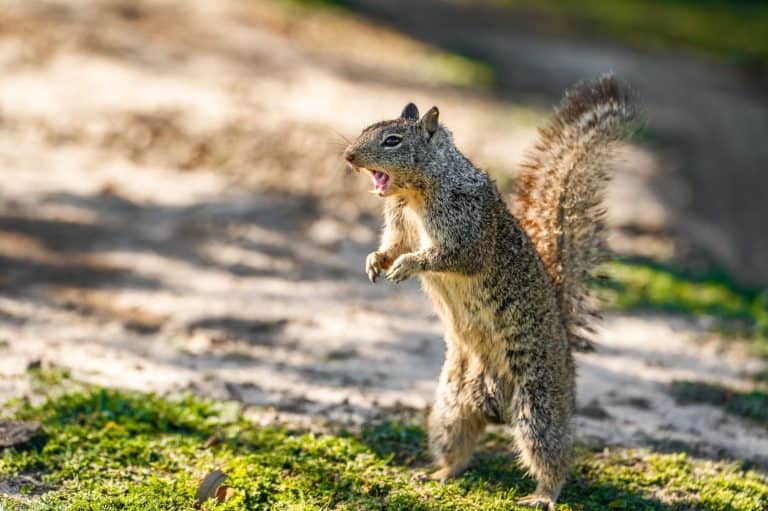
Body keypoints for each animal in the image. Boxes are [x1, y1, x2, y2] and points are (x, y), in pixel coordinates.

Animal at [343, 74, 637, 510]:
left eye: (392, 141)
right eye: (367, 128)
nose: (348, 156)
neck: (416, 192)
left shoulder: (468, 227)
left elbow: (452, 256)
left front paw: (408, 266)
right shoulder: (398, 224)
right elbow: (392, 244)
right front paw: (375, 261)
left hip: (538, 406)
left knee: (551, 456)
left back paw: (543, 495)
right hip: (450, 407)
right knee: (458, 447)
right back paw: (437, 474)